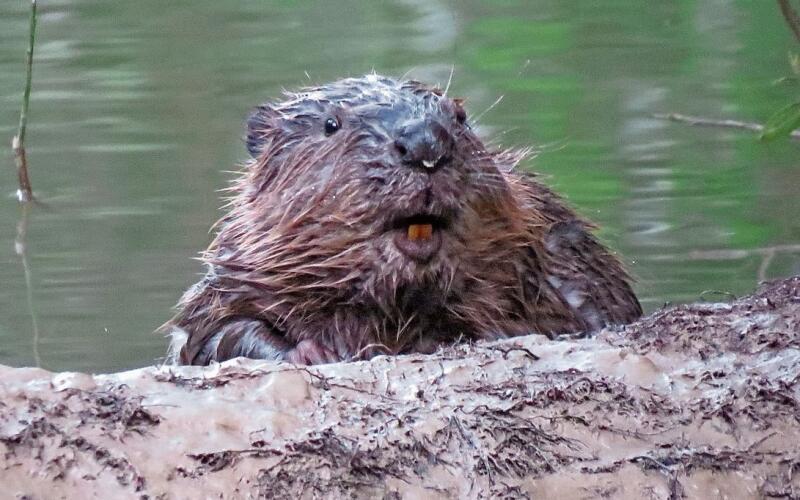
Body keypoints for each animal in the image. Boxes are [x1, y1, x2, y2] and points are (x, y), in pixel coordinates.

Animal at [166, 72, 640, 366]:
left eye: (460, 118)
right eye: (330, 124)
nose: (426, 143)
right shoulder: (235, 277)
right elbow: (213, 335)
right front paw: (313, 352)